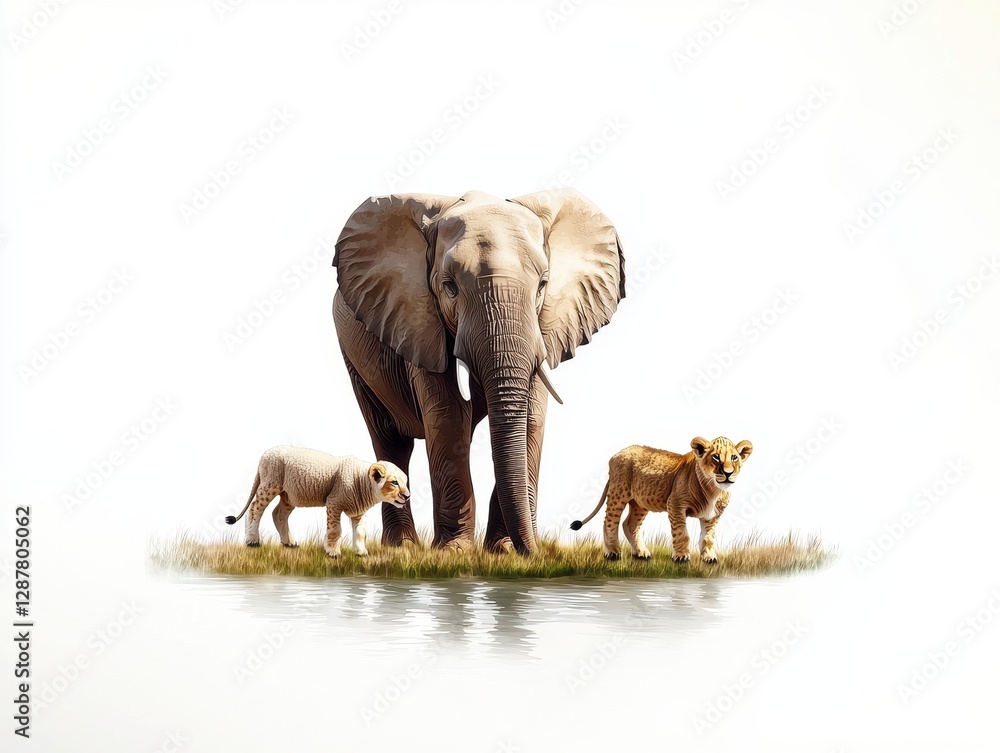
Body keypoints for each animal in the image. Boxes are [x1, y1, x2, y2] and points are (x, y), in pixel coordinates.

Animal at [224, 446, 410, 558]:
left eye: (405, 481)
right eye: (394, 482)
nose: (407, 496)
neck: (362, 482)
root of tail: (265, 453)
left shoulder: (358, 512)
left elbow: (360, 532)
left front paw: (361, 553)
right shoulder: (334, 503)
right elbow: (335, 530)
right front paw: (333, 553)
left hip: (288, 495)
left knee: (278, 514)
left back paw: (289, 542)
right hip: (270, 486)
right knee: (254, 509)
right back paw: (253, 540)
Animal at [331, 189, 625, 555]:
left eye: (543, 285)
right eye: (449, 287)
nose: (571, 527)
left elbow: (531, 420)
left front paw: (504, 551)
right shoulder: (421, 323)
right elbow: (448, 418)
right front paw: (454, 551)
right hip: (354, 358)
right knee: (390, 439)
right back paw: (402, 547)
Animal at [570, 437, 752, 563]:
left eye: (734, 458)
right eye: (716, 457)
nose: (728, 473)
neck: (714, 489)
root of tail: (617, 454)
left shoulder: (713, 515)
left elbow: (708, 538)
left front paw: (709, 558)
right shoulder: (675, 505)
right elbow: (682, 533)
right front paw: (681, 557)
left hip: (640, 502)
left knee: (630, 525)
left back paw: (641, 553)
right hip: (618, 493)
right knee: (610, 521)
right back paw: (613, 552)